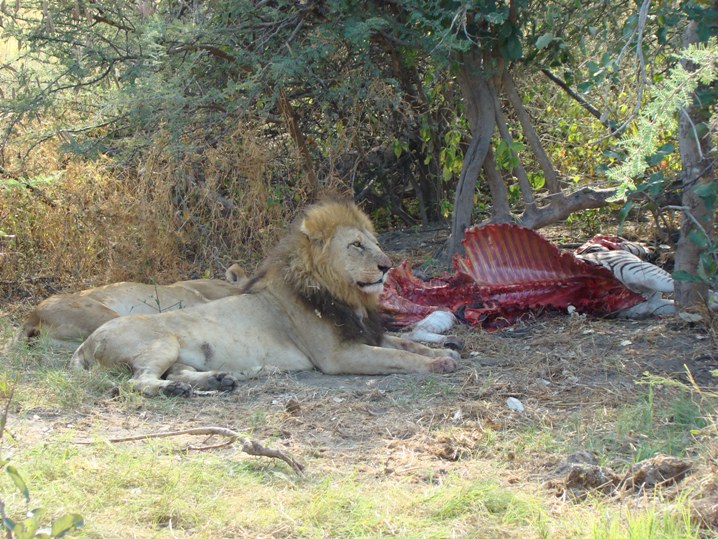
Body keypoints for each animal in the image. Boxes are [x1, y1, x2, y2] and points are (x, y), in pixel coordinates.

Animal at [73, 201, 462, 396]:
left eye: (376, 242)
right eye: (356, 245)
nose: (386, 266)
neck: (347, 296)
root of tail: (85, 343)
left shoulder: (367, 334)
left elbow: (407, 344)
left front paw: (444, 352)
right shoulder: (337, 356)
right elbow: (397, 356)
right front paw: (439, 364)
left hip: (180, 356)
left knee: (178, 372)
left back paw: (217, 381)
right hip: (160, 343)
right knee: (137, 383)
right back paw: (175, 391)